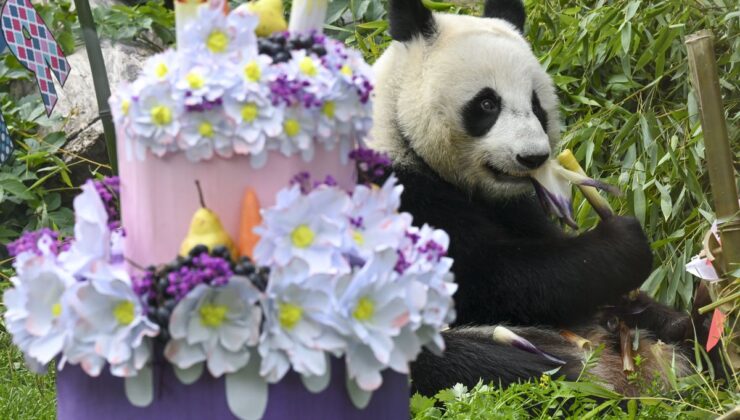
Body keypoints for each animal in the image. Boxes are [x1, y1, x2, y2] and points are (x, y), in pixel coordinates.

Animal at [369, 0, 699, 397]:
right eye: (486, 103)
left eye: (536, 104)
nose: (533, 158)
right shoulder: (395, 196)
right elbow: (485, 277)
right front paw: (624, 244)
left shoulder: (513, 206)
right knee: (479, 364)